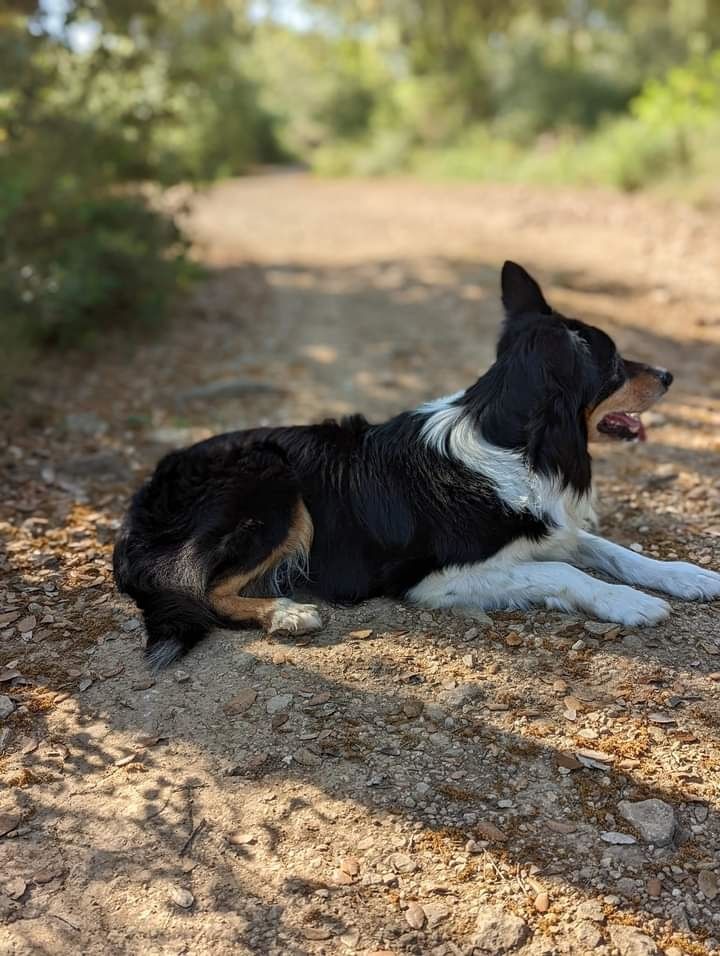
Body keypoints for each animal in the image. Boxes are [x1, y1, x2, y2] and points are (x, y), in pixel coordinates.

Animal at [112, 258, 720, 668]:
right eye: (615, 364)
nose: (668, 375)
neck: (516, 445)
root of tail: (142, 497)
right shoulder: (434, 578)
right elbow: (564, 570)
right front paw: (629, 603)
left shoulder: (547, 528)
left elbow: (612, 550)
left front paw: (686, 576)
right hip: (274, 484)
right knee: (205, 590)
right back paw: (286, 612)